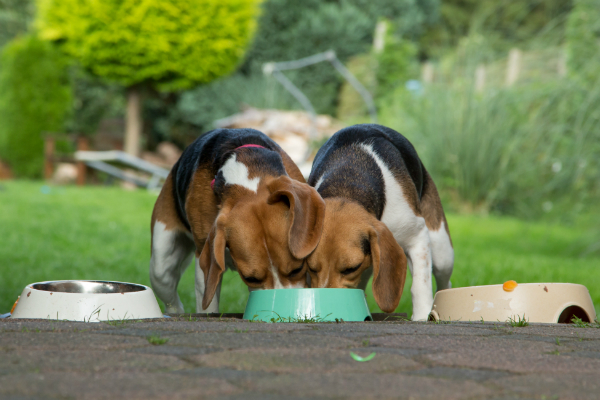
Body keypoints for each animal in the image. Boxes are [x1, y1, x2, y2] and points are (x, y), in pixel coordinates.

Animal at [152, 128, 326, 312]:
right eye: (251, 279)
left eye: (297, 269)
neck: (246, 177)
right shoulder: (204, 262)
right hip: (160, 266)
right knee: (171, 297)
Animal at [308, 123, 452, 320]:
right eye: (311, 269)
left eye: (351, 268)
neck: (346, 185)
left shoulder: (417, 236)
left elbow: (420, 284)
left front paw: (422, 315)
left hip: (441, 251)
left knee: (443, 281)